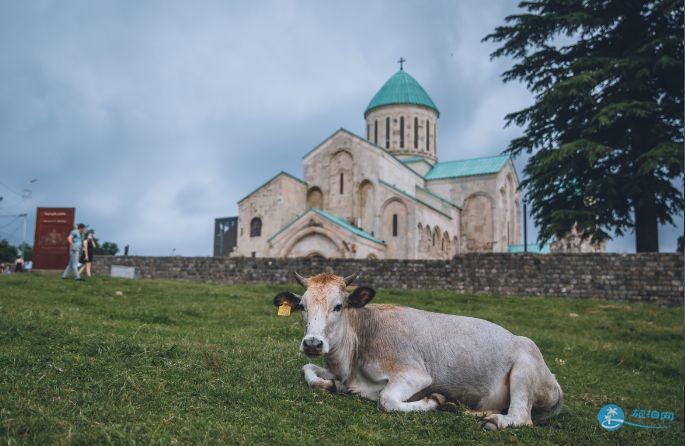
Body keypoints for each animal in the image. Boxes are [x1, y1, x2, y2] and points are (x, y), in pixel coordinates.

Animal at [272, 270, 560, 430]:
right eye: (302, 306)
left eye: (338, 306)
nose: (312, 343)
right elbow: (307, 370)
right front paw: (330, 384)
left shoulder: (414, 374)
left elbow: (386, 400)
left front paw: (434, 401)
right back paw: (467, 410)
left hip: (525, 370)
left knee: (521, 416)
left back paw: (493, 420)